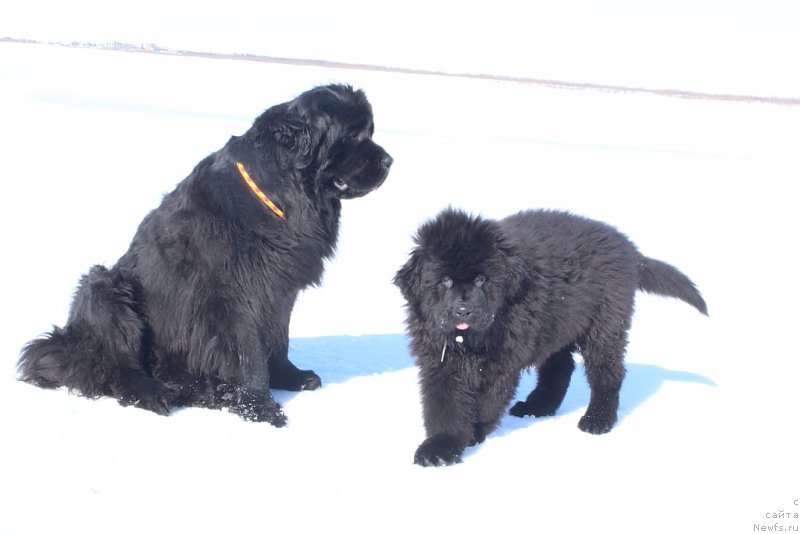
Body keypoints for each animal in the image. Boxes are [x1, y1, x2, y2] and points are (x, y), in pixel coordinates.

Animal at [18, 84, 394, 428]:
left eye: (370, 131)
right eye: (353, 134)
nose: (390, 161)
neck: (282, 195)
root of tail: (66, 343)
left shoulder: (280, 291)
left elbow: (278, 340)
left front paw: (291, 377)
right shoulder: (232, 296)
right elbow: (249, 354)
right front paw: (261, 408)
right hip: (104, 287)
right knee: (118, 366)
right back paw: (156, 393)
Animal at [394, 207, 708, 466]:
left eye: (482, 279)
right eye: (444, 279)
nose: (463, 310)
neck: (470, 340)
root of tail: (629, 250)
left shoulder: (501, 362)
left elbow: (487, 399)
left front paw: (472, 433)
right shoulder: (439, 360)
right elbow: (444, 404)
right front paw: (440, 447)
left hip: (605, 325)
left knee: (607, 373)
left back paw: (597, 420)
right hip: (557, 323)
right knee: (561, 367)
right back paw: (538, 406)